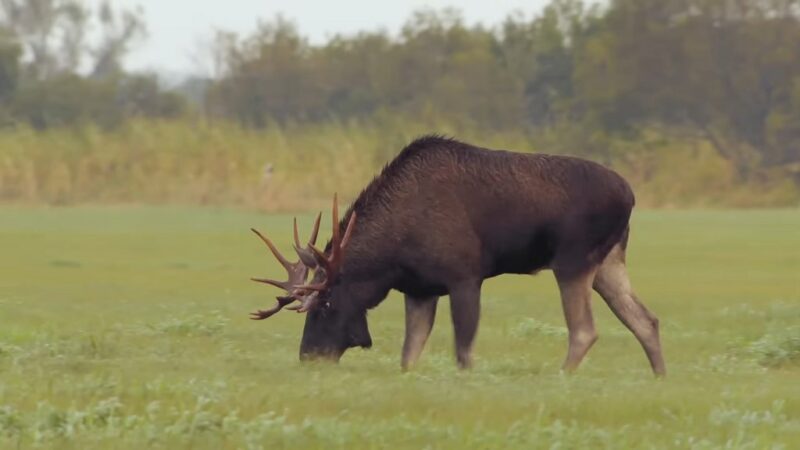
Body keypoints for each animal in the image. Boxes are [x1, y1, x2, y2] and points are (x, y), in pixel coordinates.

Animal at [253, 136, 664, 376]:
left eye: (325, 305)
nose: (308, 356)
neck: (390, 256)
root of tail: (630, 195)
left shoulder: (465, 276)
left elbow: (463, 350)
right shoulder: (419, 289)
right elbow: (409, 356)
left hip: (573, 260)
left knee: (585, 330)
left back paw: (562, 376)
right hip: (608, 261)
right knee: (645, 319)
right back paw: (659, 377)